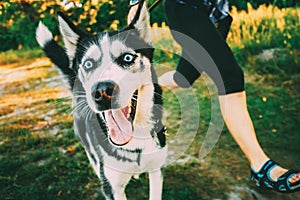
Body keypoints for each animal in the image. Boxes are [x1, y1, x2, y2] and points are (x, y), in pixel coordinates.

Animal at [35, 1, 168, 200]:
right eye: (88, 64)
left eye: (127, 58)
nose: (102, 91)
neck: (135, 142)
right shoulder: (113, 188)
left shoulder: (156, 171)